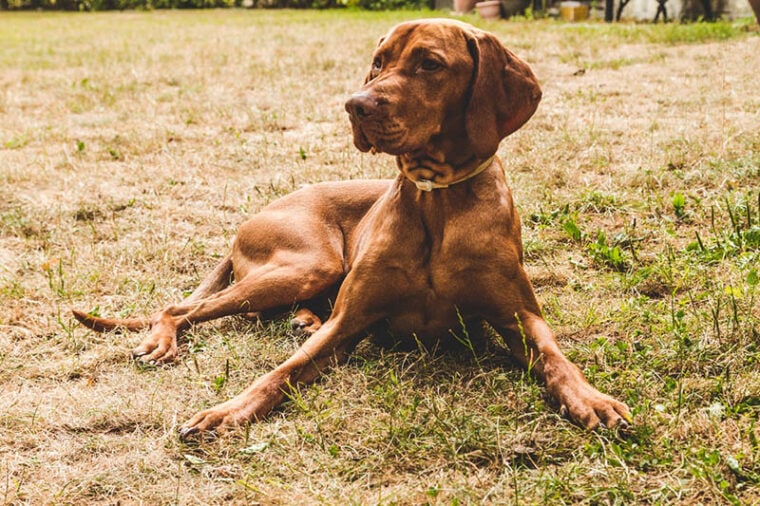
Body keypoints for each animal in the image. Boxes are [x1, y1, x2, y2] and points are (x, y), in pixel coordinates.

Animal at [72, 16, 628, 434]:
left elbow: (557, 358)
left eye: (430, 63)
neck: (436, 201)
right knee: (181, 307)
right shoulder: (349, 321)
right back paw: (164, 341)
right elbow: (280, 373)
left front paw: (592, 399)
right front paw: (226, 412)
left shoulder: (520, 317)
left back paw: (302, 319)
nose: (354, 106)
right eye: (378, 62)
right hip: (309, 262)